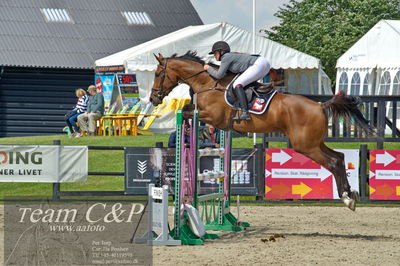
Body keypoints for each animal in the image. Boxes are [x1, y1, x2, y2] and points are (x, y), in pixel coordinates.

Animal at [149, 51, 376, 211]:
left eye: (158, 74)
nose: (153, 98)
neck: (208, 83)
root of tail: (320, 106)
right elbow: (187, 109)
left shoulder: (212, 116)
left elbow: (187, 111)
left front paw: (190, 127)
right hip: (314, 143)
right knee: (339, 157)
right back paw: (350, 195)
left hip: (305, 145)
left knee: (332, 162)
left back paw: (347, 198)